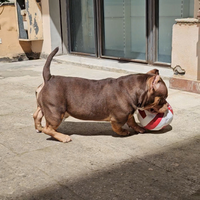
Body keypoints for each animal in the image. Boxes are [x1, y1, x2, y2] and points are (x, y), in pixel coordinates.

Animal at [33, 47, 168, 142]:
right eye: (162, 99)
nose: (167, 106)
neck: (133, 89)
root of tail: (49, 78)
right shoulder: (117, 119)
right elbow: (118, 128)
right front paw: (124, 132)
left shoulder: (129, 114)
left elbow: (132, 121)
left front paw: (139, 128)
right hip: (56, 112)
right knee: (48, 129)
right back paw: (63, 137)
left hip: (44, 107)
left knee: (37, 116)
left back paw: (39, 128)